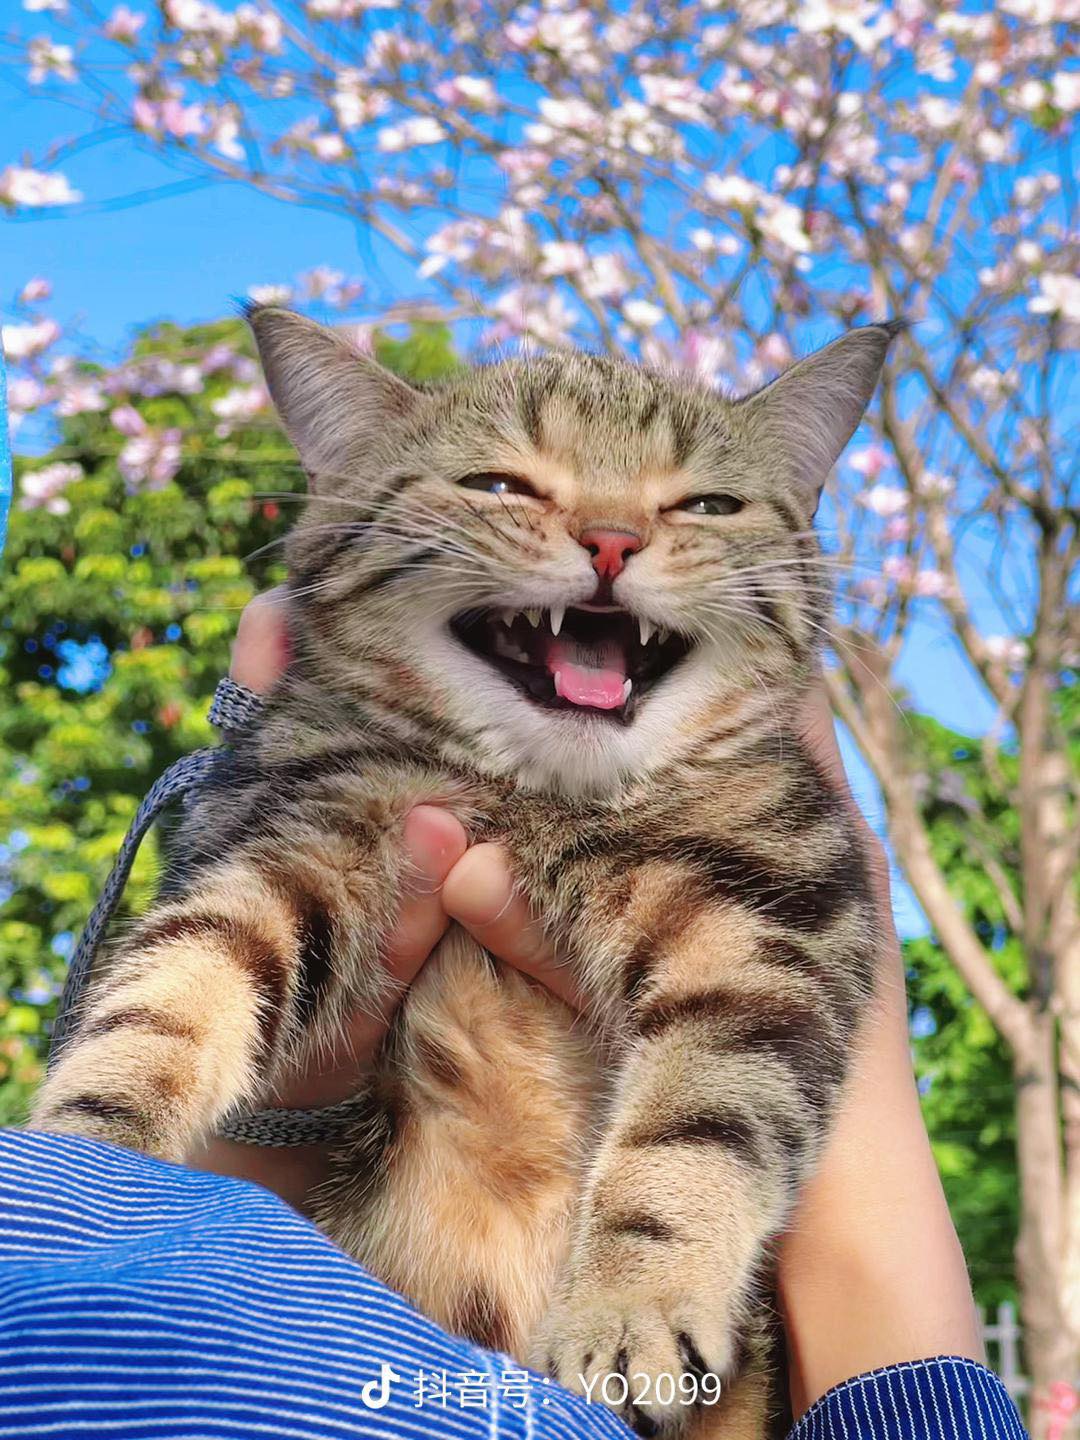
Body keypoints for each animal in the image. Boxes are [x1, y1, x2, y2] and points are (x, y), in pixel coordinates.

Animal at [29, 312, 898, 1440]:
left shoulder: (771, 916)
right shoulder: (291, 833)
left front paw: (636, 1303)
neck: (535, 798)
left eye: (707, 504)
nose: (613, 539)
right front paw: (83, 1149)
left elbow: (703, 1117)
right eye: (498, 485)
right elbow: (169, 995)